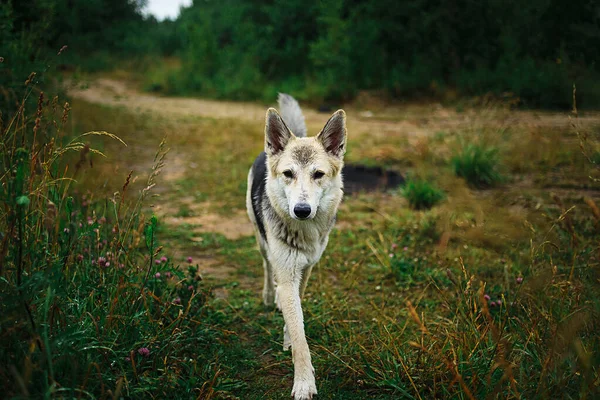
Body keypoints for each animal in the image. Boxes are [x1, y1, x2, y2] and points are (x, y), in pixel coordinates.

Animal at [244, 94, 346, 400]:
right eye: (288, 173)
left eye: (318, 174)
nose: (302, 210)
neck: (303, 232)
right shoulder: (287, 271)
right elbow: (301, 338)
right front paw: (303, 383)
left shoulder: (307, 268)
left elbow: (297, 315)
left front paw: (288, 335)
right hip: (262, 242)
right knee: (267, 267)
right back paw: (269, 295)